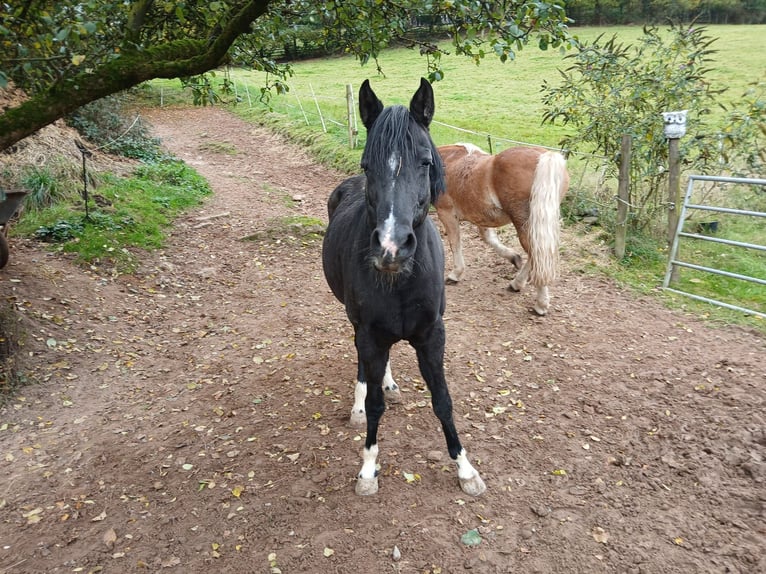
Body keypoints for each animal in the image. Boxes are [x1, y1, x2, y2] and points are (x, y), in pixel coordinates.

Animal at [322, 79, 486, 498]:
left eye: (425, 161)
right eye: (367, 164)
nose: (391, 247)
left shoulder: (432, 335)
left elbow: (443, 401)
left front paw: (465, 469)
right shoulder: (369, 333)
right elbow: (375, 404)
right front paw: (368, 470)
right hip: (357, 324)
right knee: (364, 367)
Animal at [438, 143, 568, 316]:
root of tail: (546, 156)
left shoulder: (446, 213)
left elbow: (455, 243)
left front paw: (455, 274)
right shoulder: (481, 216)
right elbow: (490, 239)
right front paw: (514, 258)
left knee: (537, 254)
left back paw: (540, 304)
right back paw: (517, 284)